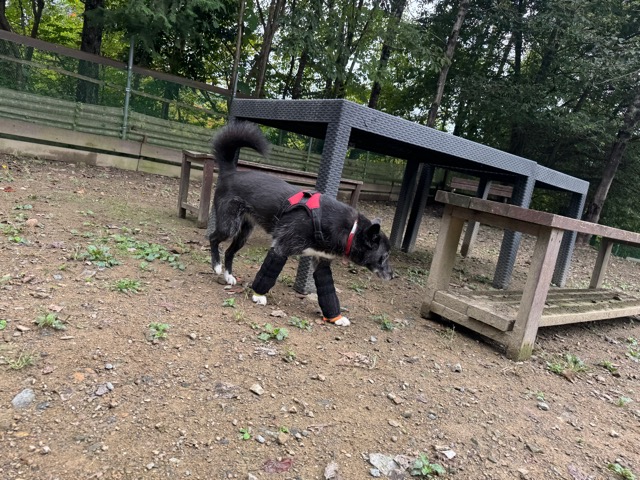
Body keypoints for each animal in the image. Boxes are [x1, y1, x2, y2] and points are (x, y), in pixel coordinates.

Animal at [208, 121, 393, 326]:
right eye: (384, 256)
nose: (392, 275)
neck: (351, 229)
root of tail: (230, 172)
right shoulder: (281, 248)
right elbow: (267, 274)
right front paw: (258, 296)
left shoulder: (321, 262)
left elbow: (328, 291)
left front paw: (336, 317)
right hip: (229, 225)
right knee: (212, 238)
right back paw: (216, 266)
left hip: (243, 233)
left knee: (230, 251)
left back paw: (228, 275)